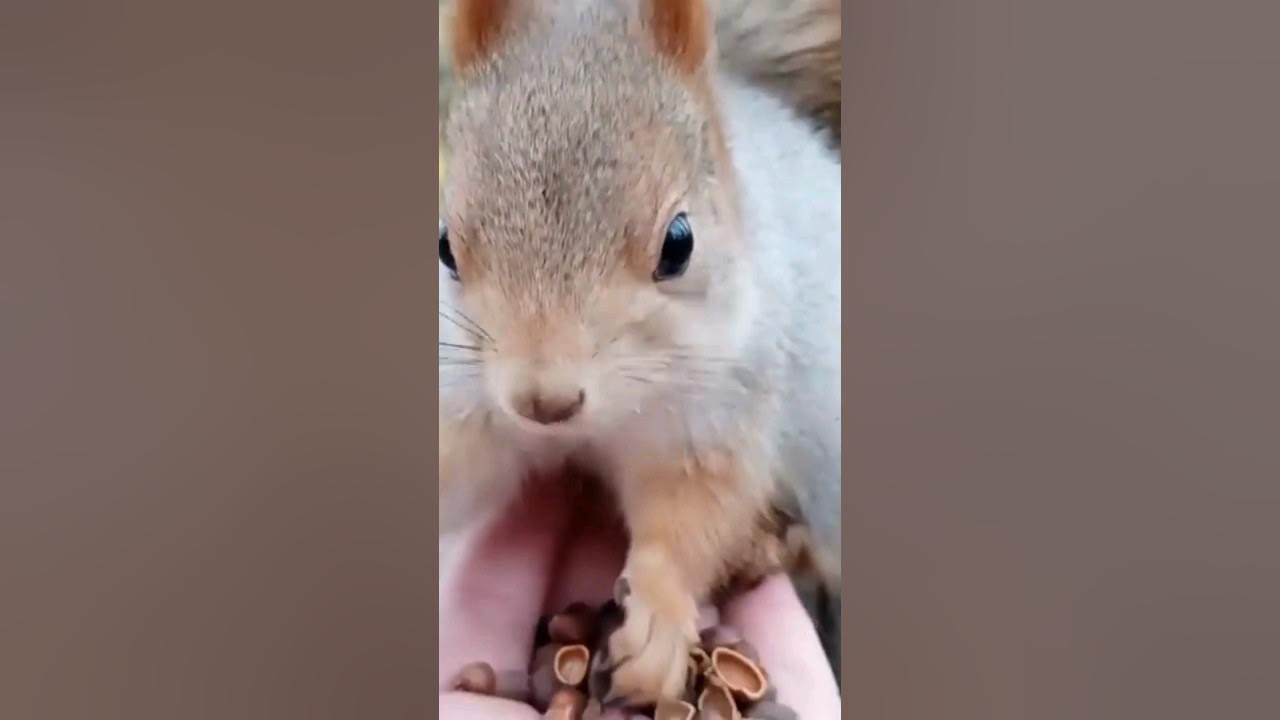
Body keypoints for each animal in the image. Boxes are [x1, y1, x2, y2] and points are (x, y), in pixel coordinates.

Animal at [439, 0, 841, 704]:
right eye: (445, 248)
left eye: (679, 244)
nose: (545, 402)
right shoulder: (468, 398)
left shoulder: (720, 412)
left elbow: (694, 514)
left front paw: (655, 621)